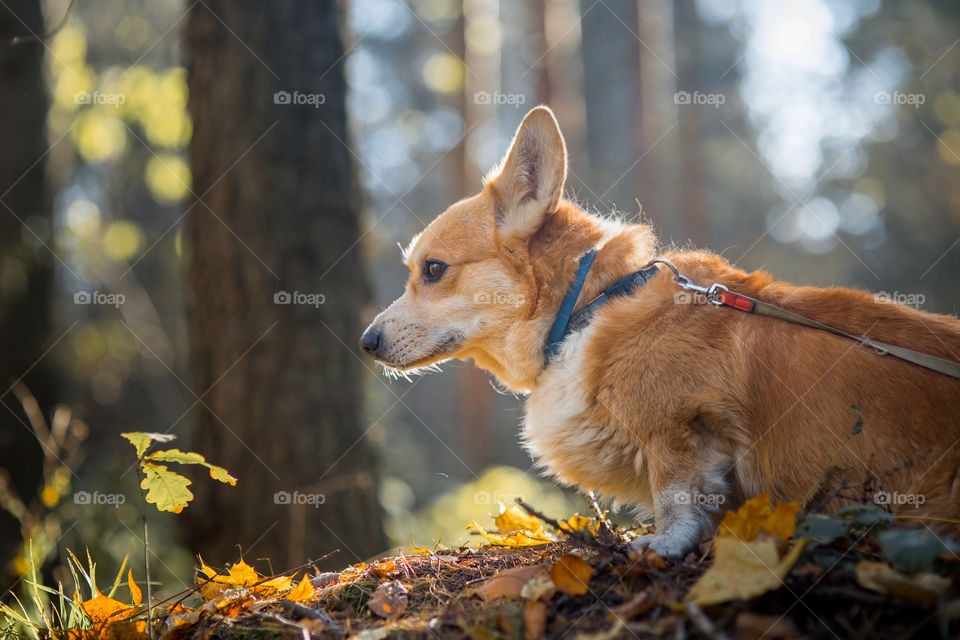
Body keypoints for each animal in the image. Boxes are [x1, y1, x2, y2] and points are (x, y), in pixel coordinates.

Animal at [360, 105, 960, 556]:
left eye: (433, 269)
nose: (366, 343)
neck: (586, 307)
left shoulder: (677, 429)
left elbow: (677, 495)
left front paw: (663, 546)